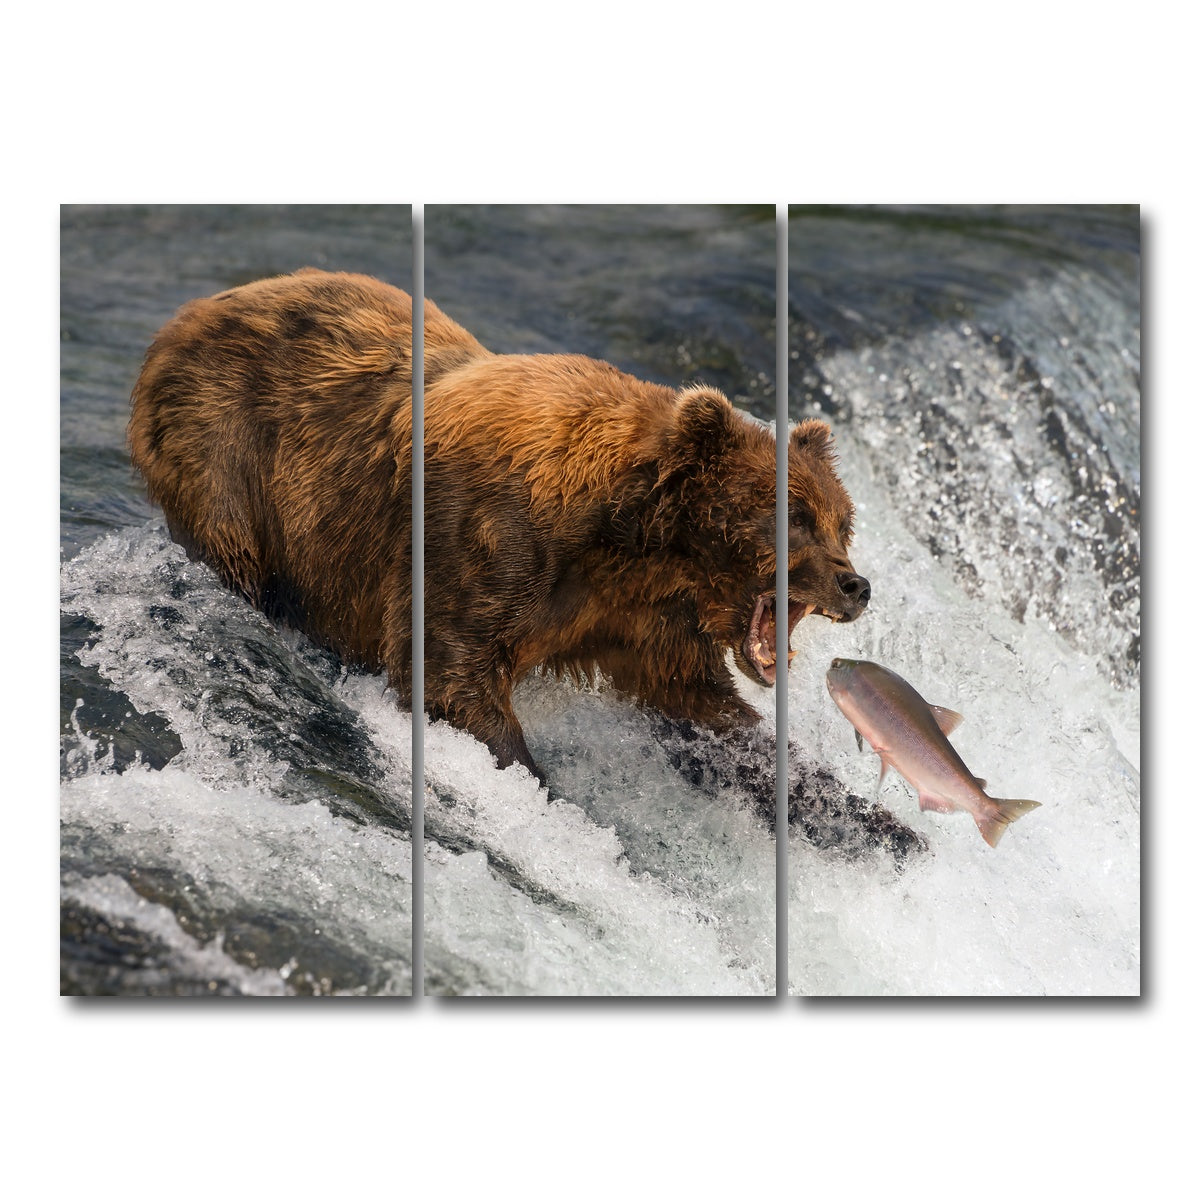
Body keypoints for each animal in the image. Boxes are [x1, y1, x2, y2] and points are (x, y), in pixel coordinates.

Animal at [129, 269, 922, 858]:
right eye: (794, 516)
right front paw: (548, 795)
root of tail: (185, 316)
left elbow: (707, 715)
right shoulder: (484, 539)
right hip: (230, 454)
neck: (629, 539)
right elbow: (451, 674)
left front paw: (879, 824)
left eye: (842, 520)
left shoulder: (641, 619)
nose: (856, 584)